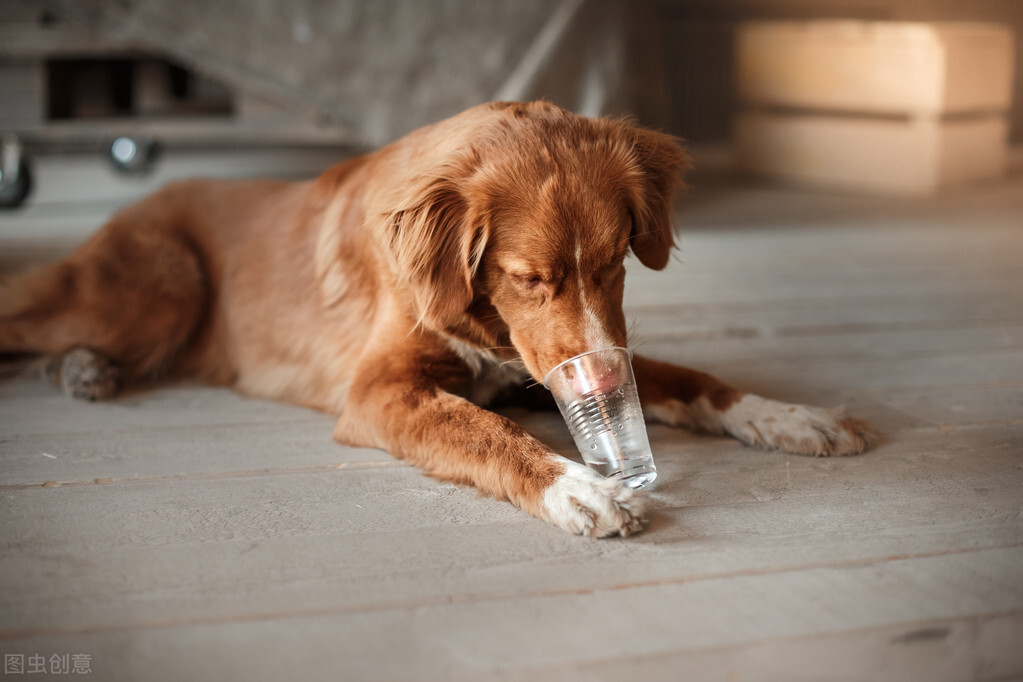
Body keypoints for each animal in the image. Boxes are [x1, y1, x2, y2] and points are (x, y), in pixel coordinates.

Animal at [0, 101, 871, 539]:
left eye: (615, 261)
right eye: (528, 278)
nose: (595, 385)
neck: (478, 313)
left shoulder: (561, 361)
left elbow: (692, 378)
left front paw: (786, 415)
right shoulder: (379, 391)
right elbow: (483, 430)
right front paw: (575, 486)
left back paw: (85, 369)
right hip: (158, 288)